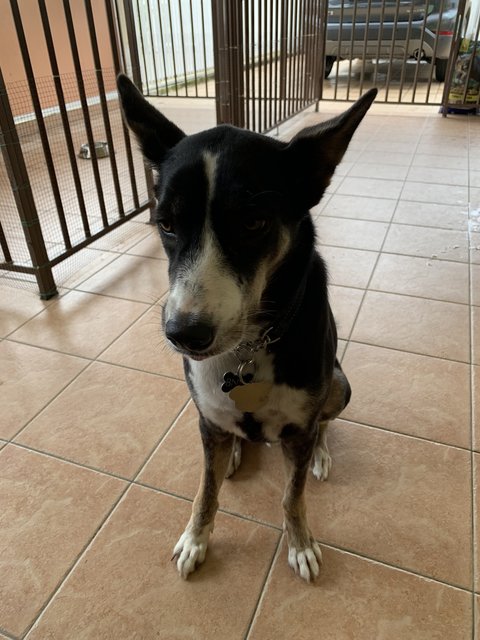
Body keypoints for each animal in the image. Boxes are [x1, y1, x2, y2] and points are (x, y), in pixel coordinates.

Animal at [118, 74, 376, 580]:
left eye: (254, 222)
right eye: (165, 223)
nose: (184, 334)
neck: (250, 347)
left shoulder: (300, 424)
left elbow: (292, 495)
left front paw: (300, 544)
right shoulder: (204, 420)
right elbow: (206, 489)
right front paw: (196, 538)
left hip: (340, 384)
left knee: (325, 422)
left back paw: (321, 453)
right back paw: (235, 449)